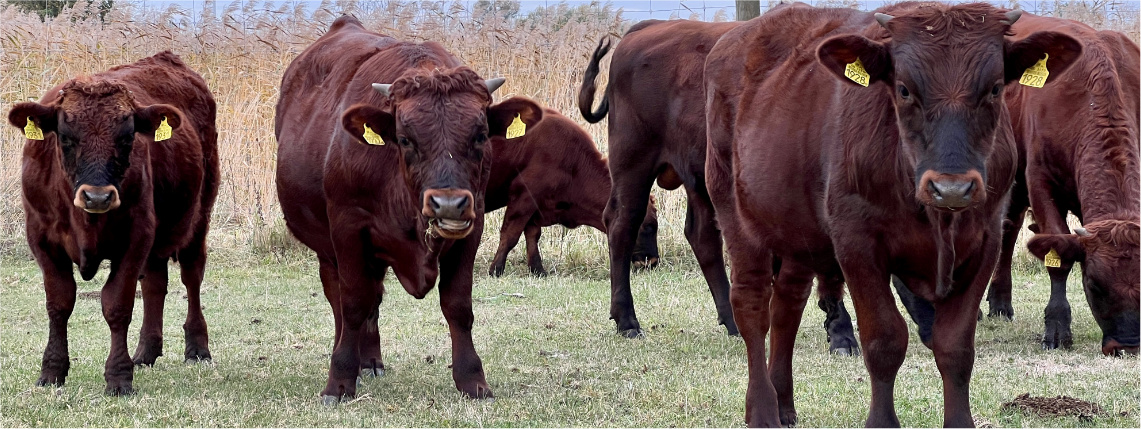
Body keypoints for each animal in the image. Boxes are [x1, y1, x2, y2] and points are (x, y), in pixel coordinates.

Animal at [7, 51, 219, 397]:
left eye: (127, 137)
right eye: (66, 137)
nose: (97, 197)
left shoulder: (135, 237)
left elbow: (117, 305)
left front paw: (119, 377)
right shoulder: (41, 238)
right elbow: (59, 303)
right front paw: (51, 371)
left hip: (198, 216)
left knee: (191, 276)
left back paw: (197, 347)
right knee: (155, 283)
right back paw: (146, 352)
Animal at [276, 15, 543, 401]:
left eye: (480, 135)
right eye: (405, 139)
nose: (448, 204)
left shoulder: (472, 228)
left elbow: (458, 305)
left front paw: (472, 379)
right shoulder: (348, 227)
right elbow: (352, 302)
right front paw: (339, 379)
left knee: (374, 296)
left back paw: (370, 360)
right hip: (326, 247)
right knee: (340, 297)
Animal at [702, 2, 1077, 426]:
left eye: (996, 88)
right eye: (904, 89)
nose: (951, 188)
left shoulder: (986, 241)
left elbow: (955, 347)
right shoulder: (858, 244)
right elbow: (884, 341)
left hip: (798, 235)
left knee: (787, 306)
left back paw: (784, 405)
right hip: (735, 214)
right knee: (752, 306)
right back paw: (763, 410)